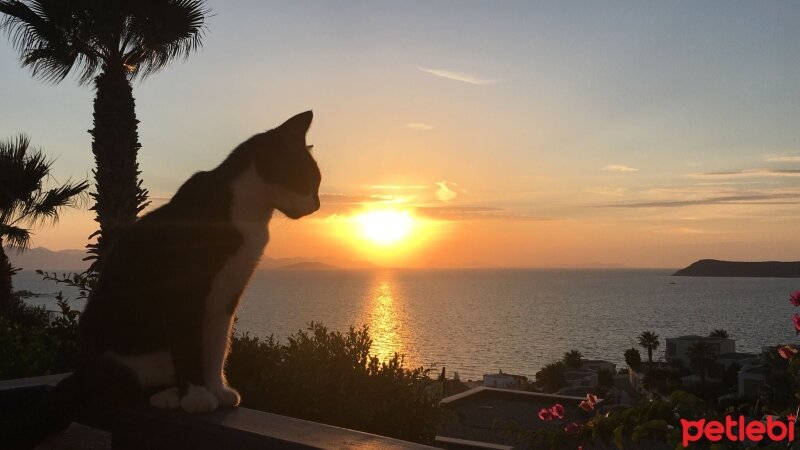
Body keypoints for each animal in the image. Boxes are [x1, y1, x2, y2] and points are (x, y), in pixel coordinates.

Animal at [7, 110, 318, 450]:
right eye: (311, 179)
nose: (317, 204)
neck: (249, 213)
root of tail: (84, 370)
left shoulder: (227, 292)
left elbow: (217, 345)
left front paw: (216, 388)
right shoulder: (184, 291)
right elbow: (189, 344)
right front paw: (196, 395)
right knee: (119, 386)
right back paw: (167, 395)